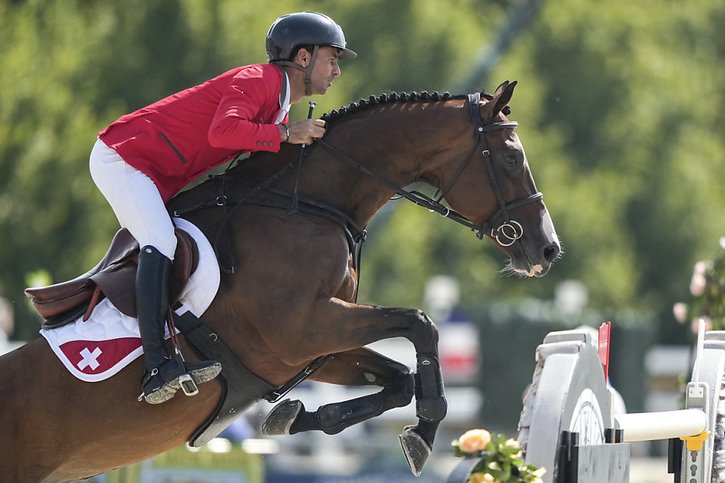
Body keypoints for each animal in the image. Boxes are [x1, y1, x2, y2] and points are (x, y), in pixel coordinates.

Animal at [0, 81, 560, 482]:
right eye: (511, 157)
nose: (547, 250)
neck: (308, 205)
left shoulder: (313, 349)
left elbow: (397, 378)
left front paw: (288, 418)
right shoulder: (302, 330)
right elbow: (421, 323)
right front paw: (425, 429)